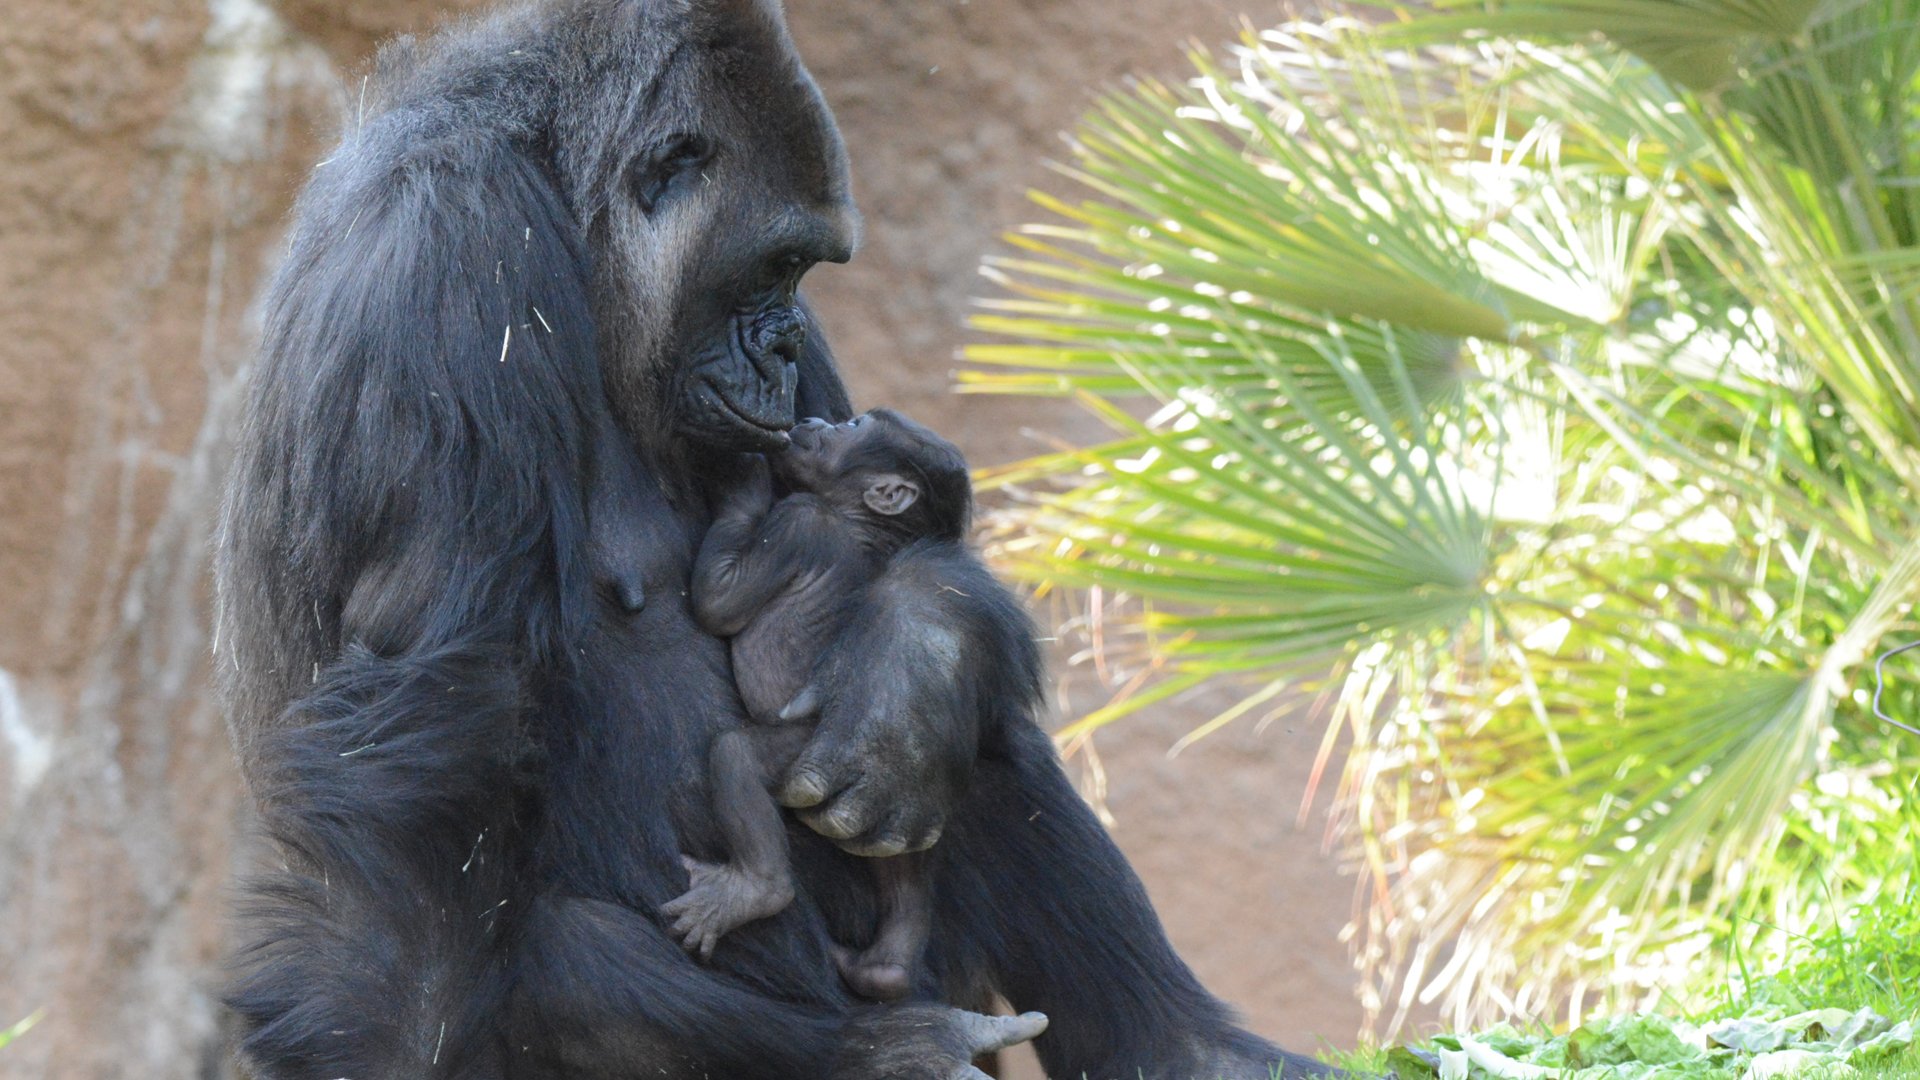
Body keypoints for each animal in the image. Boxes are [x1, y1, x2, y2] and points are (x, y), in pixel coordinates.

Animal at [672, 407, 975, 999]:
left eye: (854, 425)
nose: (816, 420)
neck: (863, 522)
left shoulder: (801, 524)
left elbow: (719, 604)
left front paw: (742, 482)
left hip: (816, 748)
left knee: (736, 757)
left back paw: (757, 891)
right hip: (869, 783)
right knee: (902, 853)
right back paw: (884, 971)